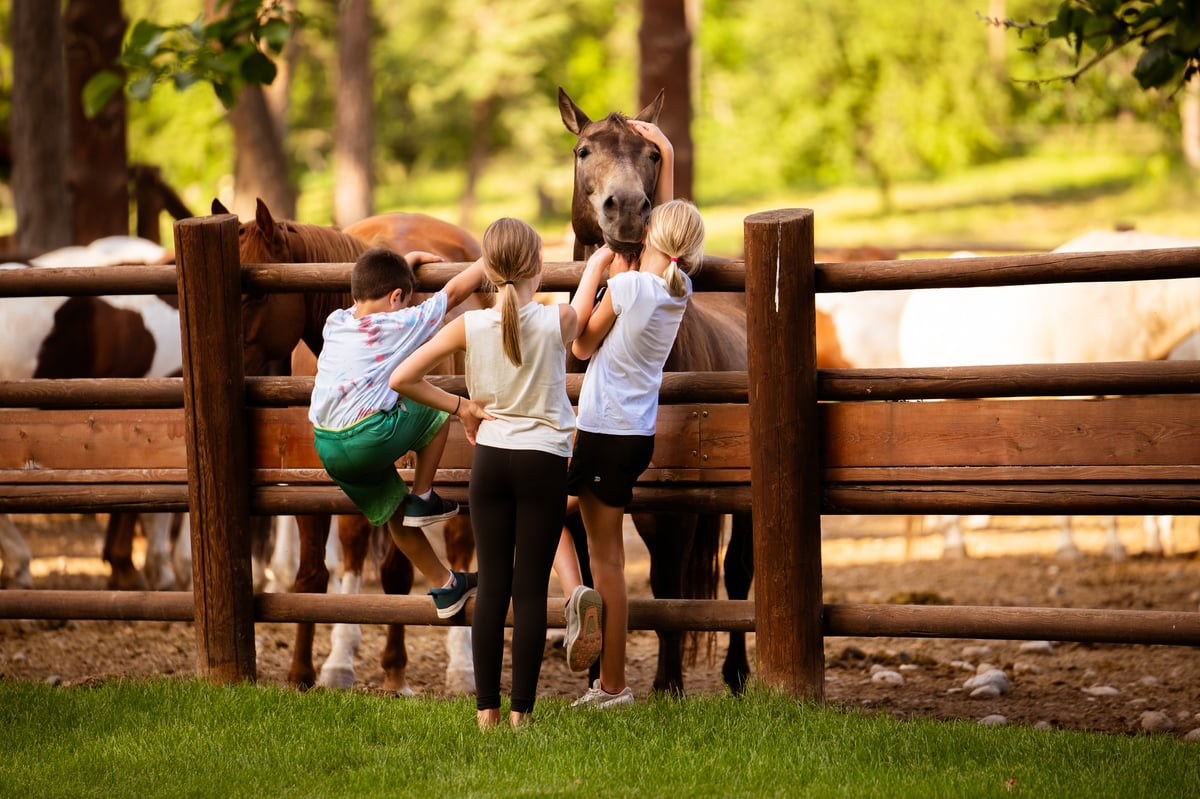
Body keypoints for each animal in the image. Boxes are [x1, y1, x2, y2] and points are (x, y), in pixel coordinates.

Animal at [218, 197, 480, 691]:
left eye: (256, 294)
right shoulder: (310, 485)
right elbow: (311, 577)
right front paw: (302, 674)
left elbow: (397, 572)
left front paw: (395, 673)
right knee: (354, 551)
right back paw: (340, 659)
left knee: (457, 543)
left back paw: (460, 666)